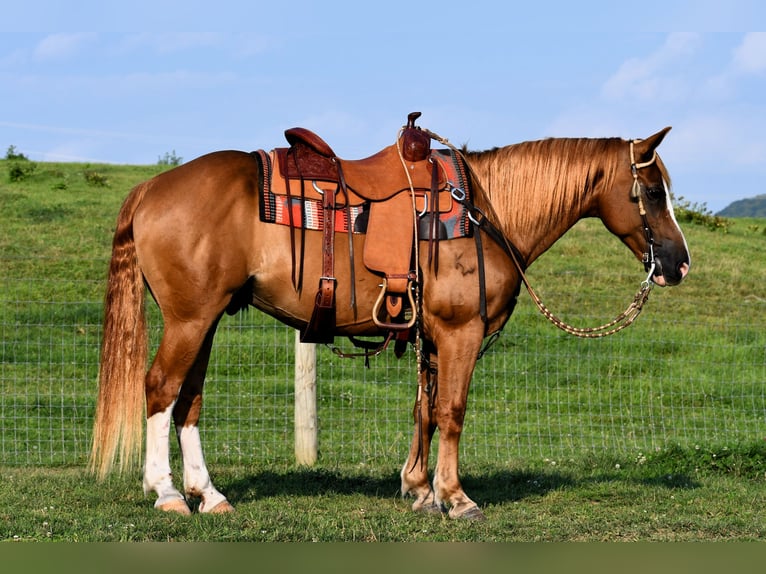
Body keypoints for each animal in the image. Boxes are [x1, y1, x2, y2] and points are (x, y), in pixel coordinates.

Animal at [88, 122, 688, 520]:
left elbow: (424, 409)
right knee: (160, 388)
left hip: (205, 319)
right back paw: (167, 493)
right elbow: (452, 411)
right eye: (651, 191)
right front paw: (455, 498)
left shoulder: (432, 335)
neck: (485, 212)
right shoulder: (461, 331)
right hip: (190, 320)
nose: (678, 263)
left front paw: (419, 488)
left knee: (188, 398)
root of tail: (151, 188)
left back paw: (208, 494)